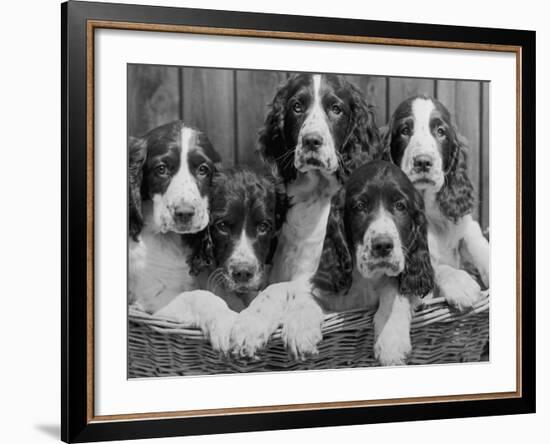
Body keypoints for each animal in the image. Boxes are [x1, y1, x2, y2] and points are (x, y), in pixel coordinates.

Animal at [129, 119, 237, 352]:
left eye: (203, 169)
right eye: (161, 169)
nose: (185, 213)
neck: (169, 239)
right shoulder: (151, 300)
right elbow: (200, 297)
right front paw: (228, 322)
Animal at [231, 73, 382, 358]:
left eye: (336, 108)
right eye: (297, 107)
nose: (311, 141)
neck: (316, 197)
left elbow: (289, 290)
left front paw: (296, 326)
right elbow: (273, 289)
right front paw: (249, 324)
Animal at [284, 160, 436, 364]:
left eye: (400, 205)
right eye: (359, 206)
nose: (382, 245)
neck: (366, 280)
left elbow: (394, 290)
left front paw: (391, 342)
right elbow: (307, 294)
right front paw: (299, 328)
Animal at [386, 96, 490, 312]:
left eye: (441, 131)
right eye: (405, 130)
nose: (423, 162)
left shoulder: (465, 223)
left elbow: (476, 240)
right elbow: (435, 266)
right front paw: (461, 284)